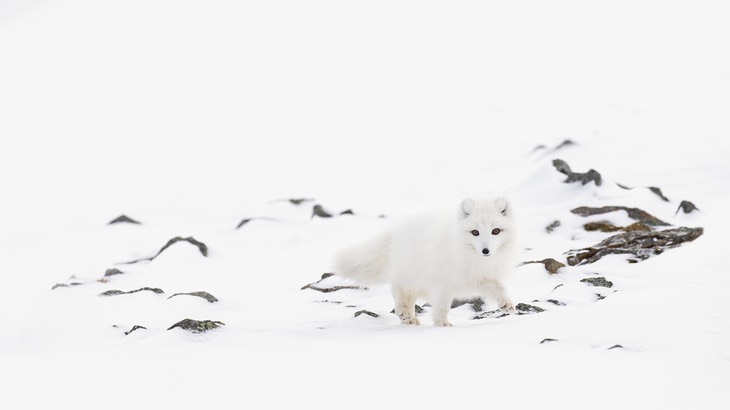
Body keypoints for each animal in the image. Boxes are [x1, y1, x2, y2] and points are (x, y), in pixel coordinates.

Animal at [332, 196, 516, 326]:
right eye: (475, 232)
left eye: (495, 231)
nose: (486, 251)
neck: (470, 256)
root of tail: (396, 229)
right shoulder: (442, 283)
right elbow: (442, 306)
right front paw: (442, 324)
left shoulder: (481, 277)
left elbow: (499, 288)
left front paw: (506, 304)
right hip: (412, 274)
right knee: (398, 288)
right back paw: (404, 313)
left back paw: (408, 318)